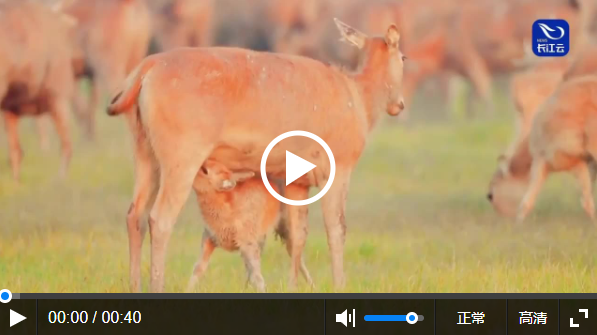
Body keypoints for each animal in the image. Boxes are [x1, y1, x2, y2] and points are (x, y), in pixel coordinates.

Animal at [107, 18, 406, 292]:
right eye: (404, 57)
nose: (400, 104)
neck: (359, 98)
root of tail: (146, 69)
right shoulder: (339, 165)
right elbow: (337, 229)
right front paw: (340, 284)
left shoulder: (295, 179)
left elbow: (296, 235)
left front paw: (293, 287)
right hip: (182, 156)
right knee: (160, 219)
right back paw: (156, 285)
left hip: (144, 150)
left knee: (135, 215)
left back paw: (134, 286)